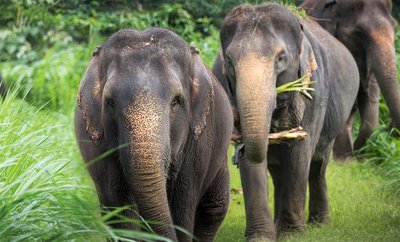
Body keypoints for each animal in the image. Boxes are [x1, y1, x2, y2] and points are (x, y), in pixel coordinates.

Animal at [74, 27, 234, 240]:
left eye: (176, 101)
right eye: (109, 102)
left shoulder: (199, 145)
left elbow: (181, 210)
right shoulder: (96, 145)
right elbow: (118, 209)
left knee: (214, 209)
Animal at [212, 3, 360, 240]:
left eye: (280, 58)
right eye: (229, 62)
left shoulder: (315, 90)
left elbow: (300, 153)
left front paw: (292, 235)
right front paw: (262, 237)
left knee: (317, 165)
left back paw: (319, 223)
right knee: (278, 173)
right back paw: (278, 225)